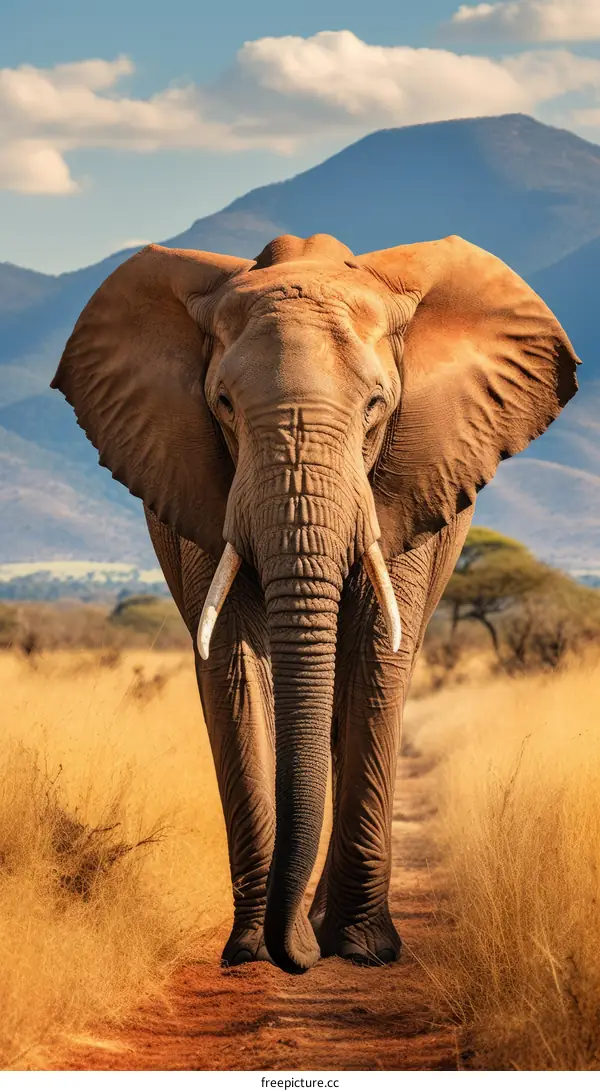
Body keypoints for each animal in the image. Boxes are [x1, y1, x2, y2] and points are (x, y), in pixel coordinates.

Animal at [51, 231, 579, 975]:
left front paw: (362, 951)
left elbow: (374, 655)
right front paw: (249, 951)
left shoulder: (407, 480)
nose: (295, 955)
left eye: (377, 405)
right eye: (223, 403)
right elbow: (233, 663)